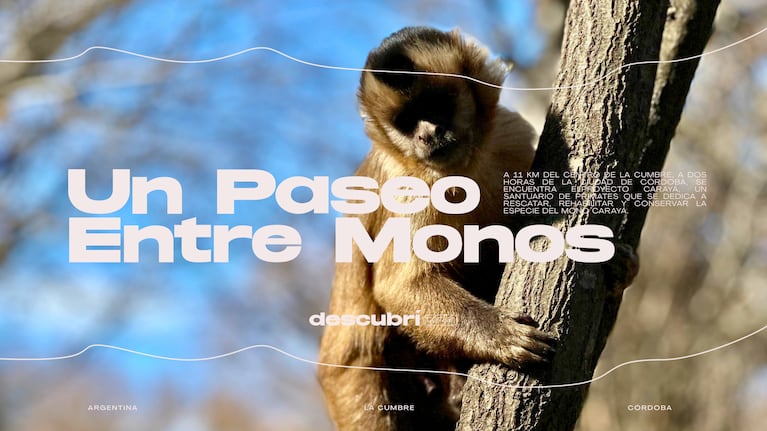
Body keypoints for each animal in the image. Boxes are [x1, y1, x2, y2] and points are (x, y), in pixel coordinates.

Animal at [318, 27, 557, 430]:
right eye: (407, 121)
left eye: (435, 106)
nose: (427, 135)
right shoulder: (409, 185)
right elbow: (400, 286)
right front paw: (498, 333)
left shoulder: (509, 134)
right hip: (349, 382)